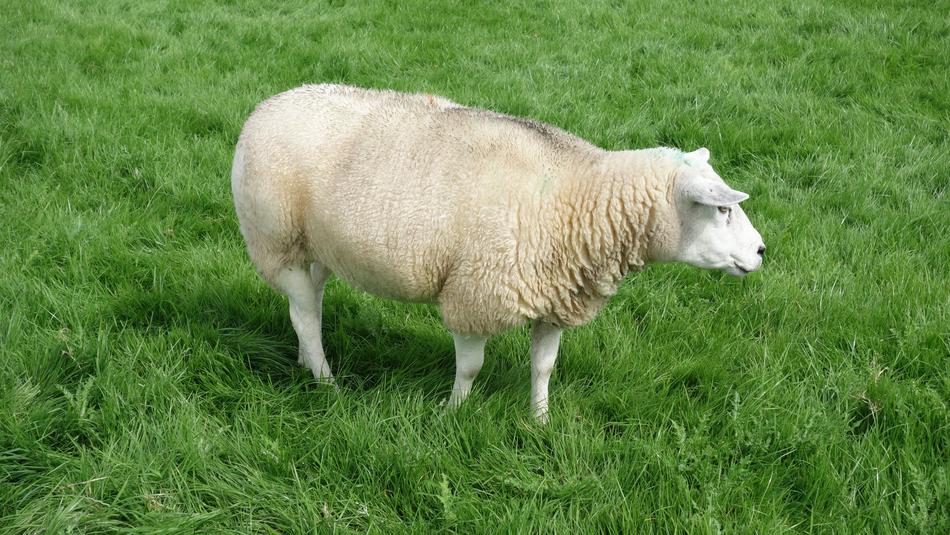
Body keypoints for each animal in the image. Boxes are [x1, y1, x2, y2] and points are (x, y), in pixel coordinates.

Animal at [231, 84, 766, 421]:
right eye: (721, 210)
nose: (761, 251)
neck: (578, 194)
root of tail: (265, 106)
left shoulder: (555, 294)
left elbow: (544, 367)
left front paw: (541, 420)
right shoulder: (476, 294)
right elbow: (470, 368)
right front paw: (452, 413)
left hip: (318, 245)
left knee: (312, 304)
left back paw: (308, 362)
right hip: (275, 239)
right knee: (304, 314)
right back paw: (326, 381)